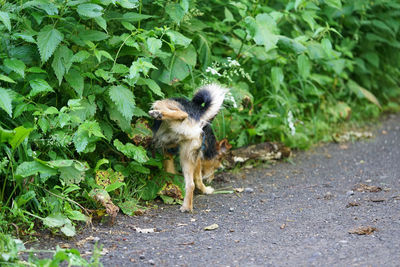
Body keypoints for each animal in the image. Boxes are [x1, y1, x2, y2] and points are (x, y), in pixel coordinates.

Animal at [149, 84, 231, 214]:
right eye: (218, 163)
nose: (212, 177)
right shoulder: (192, 158)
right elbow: (197, 178)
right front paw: (205, 190)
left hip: (163, 103)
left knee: (182, 114)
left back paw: (158, 114)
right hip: (186, 157)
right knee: (191, 184)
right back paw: (187, 207)